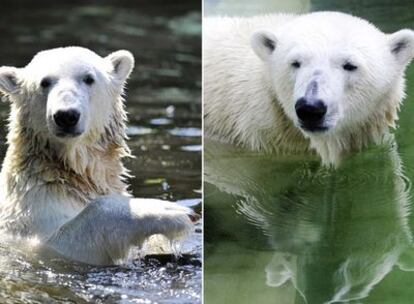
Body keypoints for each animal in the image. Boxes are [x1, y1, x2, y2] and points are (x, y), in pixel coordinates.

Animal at [0, 47, 197, 266]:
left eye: (88, 78)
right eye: (44, 82)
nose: (66, 115)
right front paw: (170, 212)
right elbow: (64, 241)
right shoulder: (30, 218)